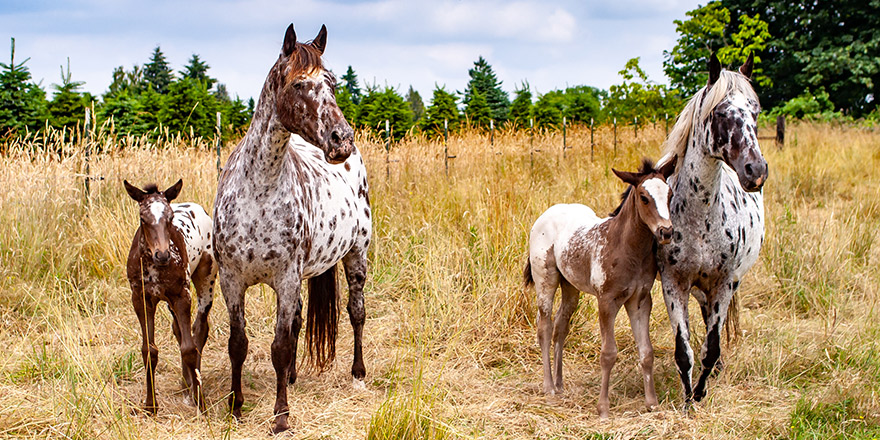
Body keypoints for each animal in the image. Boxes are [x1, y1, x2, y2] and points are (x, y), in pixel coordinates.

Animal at [124, 180, 217, 414]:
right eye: (142, 218)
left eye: (170, 218)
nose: (163, 255)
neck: (154, 267)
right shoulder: (141, 299)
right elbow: (149, 350)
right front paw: (151, 405)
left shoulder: (181, 296)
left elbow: (189, 347)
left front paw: (201, 403)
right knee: (178, 330)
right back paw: (186, 383)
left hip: (206, 281)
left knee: (199, 330)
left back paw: (194, 385)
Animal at [524, 158, 676, 416]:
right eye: (644, 197)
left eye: (670, 194)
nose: (666, 232)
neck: (627, 248)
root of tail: (545, 214)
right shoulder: (606, 301)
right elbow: (608, 353)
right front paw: (603, 407)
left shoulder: (640, 301)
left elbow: (646, 352)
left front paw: (652, 403)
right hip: (546, 279)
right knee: (544, 326)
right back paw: (549, 387)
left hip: (570, 286)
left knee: (560, 326)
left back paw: (560, 384)